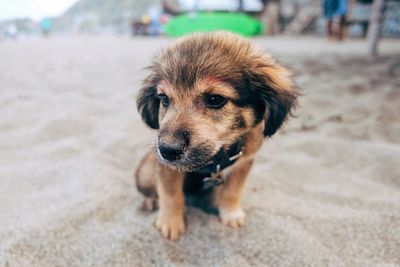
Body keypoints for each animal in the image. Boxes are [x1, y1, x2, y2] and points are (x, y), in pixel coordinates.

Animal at [136, 31, 298, 241]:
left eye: (215, 99)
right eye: (164, 99)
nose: (167, 150)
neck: (215, 159)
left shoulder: (243, 162)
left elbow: (232, 191)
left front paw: (231, 214)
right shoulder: (167, 169)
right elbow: (171, 194)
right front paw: (170, 222)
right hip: (145, 172)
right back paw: (151, 201)